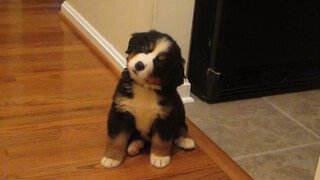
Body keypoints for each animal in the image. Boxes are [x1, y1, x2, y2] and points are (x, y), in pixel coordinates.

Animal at [100, 29, 195, 169]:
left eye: (159, 62)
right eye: (145, 48)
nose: (139, 65)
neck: (144, 87)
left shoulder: (165, 116)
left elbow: (161, 140)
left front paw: (160, 157)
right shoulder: (120, 112)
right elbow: (117, 139)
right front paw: (111, 158)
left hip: (179, 109)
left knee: (182, 126)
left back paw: (185, 139)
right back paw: (135, 146)